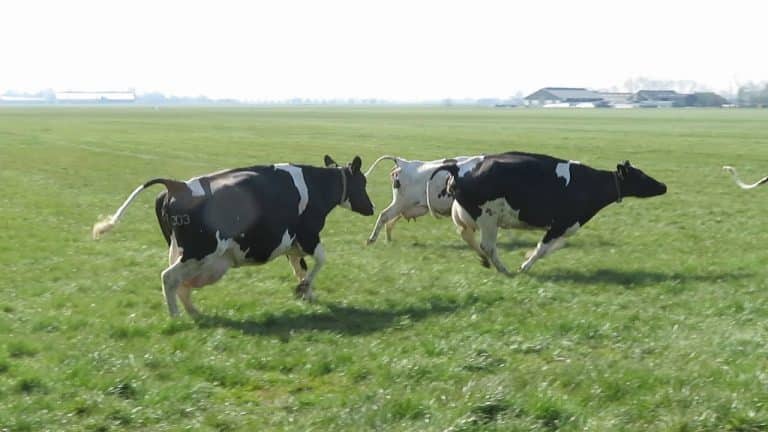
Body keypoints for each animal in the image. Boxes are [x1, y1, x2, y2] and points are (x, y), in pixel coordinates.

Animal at [92, 155, 374, 317]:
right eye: (363, 183)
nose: (371, 208)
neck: (315, 185)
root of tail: (177, 185)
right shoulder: (309, 235)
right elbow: (321, 260)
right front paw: (305, 290)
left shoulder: (292, 243)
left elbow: (300, 268)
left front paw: (307, 293)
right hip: (198, 253)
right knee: (169, 278)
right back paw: (176, 317)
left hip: (182, 251)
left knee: (180, 284)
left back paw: (194, 312)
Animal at [429, 151, 667, 274]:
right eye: (641, 176)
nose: (663, 186)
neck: (589, 184)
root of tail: (458, 168)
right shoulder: (561, 224)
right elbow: (542, 248)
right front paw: (525, 265)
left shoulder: (566, 228)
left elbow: (552, 247)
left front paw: (526, 257)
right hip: (488, 218)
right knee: (487, 245)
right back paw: (504, 269)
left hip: (465, 214)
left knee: (466, 235)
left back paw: (485, 261)